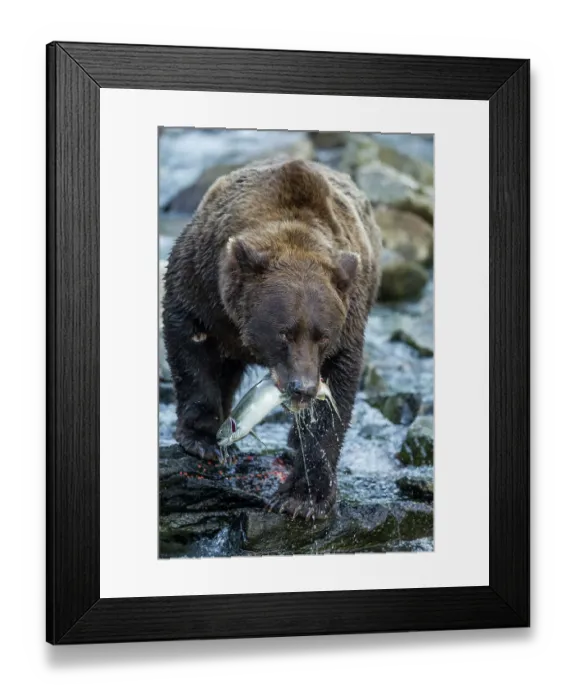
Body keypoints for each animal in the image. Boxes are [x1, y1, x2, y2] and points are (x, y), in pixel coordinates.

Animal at [163, 159, 381, 518]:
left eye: (322, 336)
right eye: (284, 332)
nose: (303, 387)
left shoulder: (349, 317)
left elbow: (335, 397)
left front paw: (302, 498)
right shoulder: (204, 285)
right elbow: (191, 345)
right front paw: (203, 440)